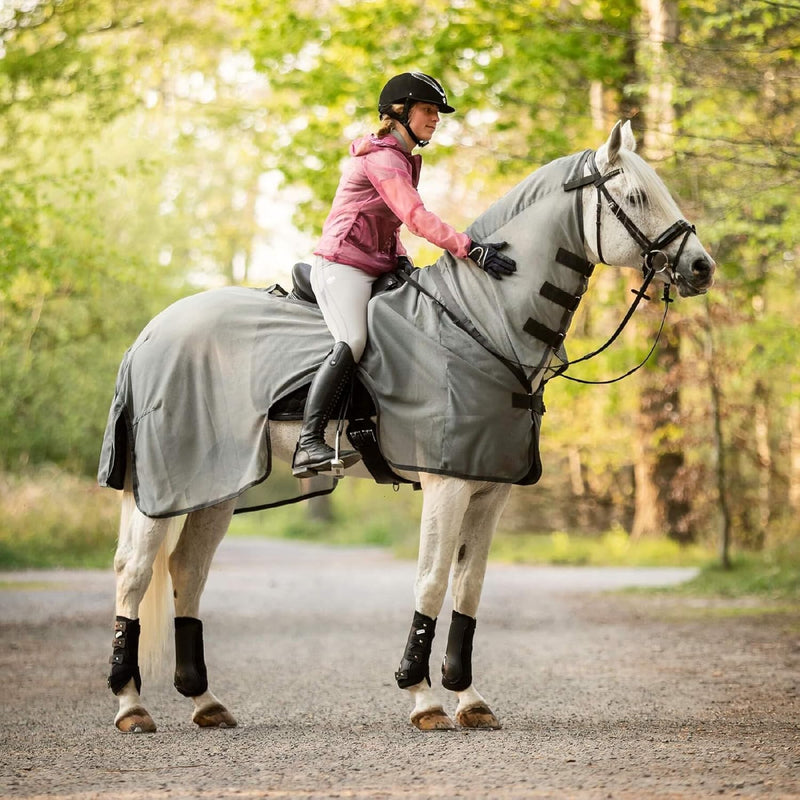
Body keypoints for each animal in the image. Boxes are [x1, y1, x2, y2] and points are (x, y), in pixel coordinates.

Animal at [101, 122, 720, 736]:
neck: (484, 317)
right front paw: (423, 696)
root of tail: (150, 334)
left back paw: (204, 701)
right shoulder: (447, 485)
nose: (702, 267)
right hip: (163, 487)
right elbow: (431, 580)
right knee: (134, 573)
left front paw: (468, 697)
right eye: (636, 197)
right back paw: (131, 704)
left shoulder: (488, 489)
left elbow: (470, 586)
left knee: (187, 569)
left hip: (215, 487)